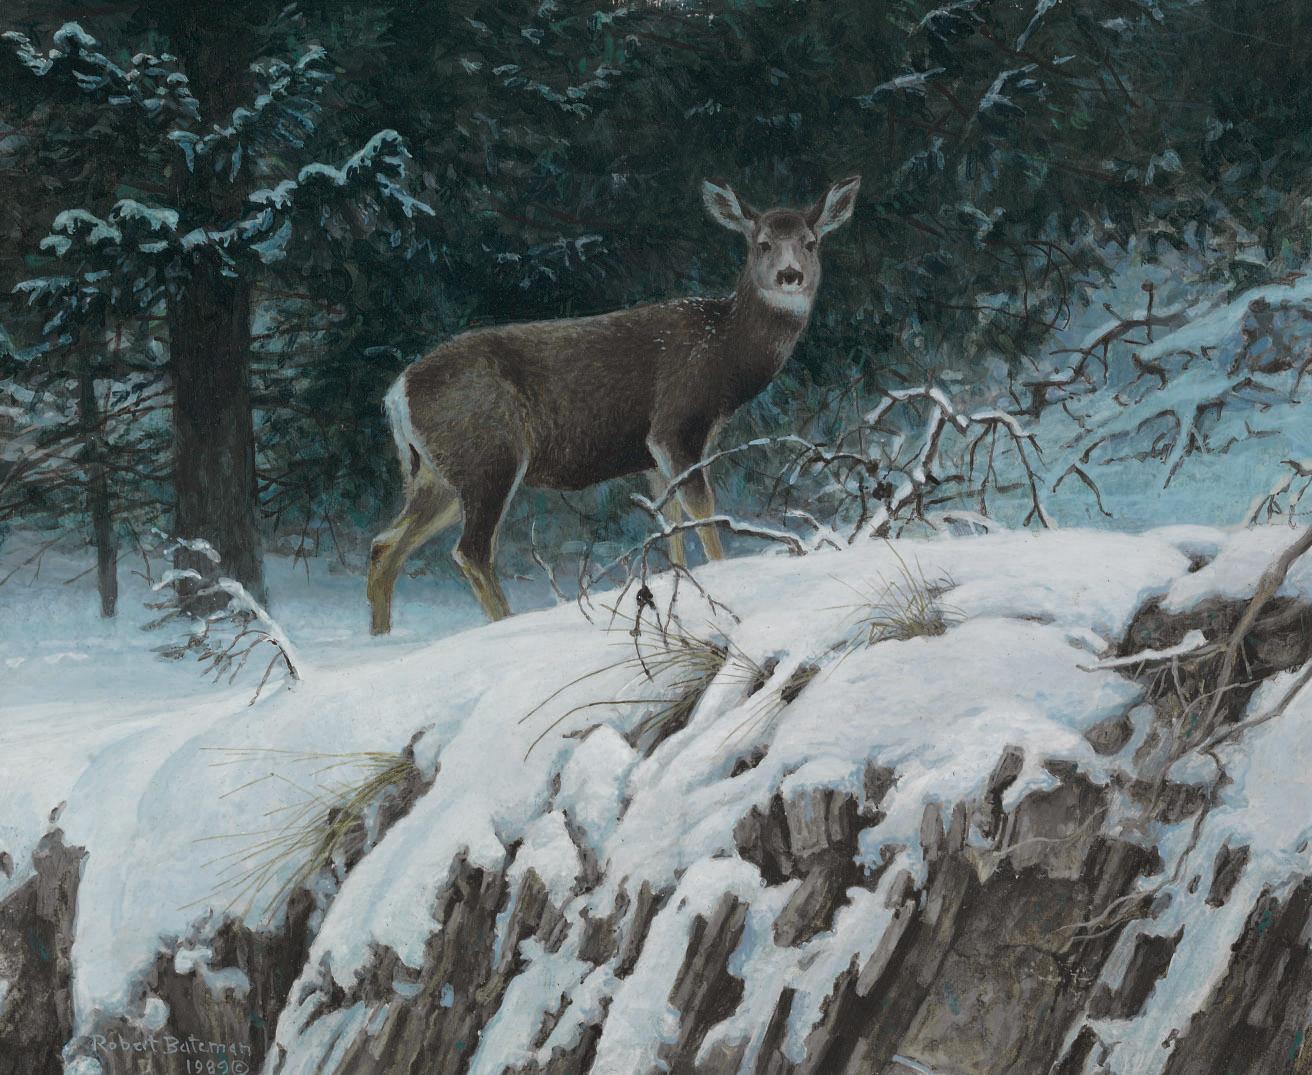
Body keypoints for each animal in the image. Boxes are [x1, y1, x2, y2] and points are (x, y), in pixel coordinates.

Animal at [367, 175, 861, 633]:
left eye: (811, 243)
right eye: (762, 244)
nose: (790, 275)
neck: (722, 353)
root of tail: (397, 393)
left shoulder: (653, 455)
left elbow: (669, 519)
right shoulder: (676, 424)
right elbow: (703, 510)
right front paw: (723, 580)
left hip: (434, 473)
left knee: (384, 544)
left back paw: (382, 638)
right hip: (488, 455)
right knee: (469, 551)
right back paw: (506, 624)